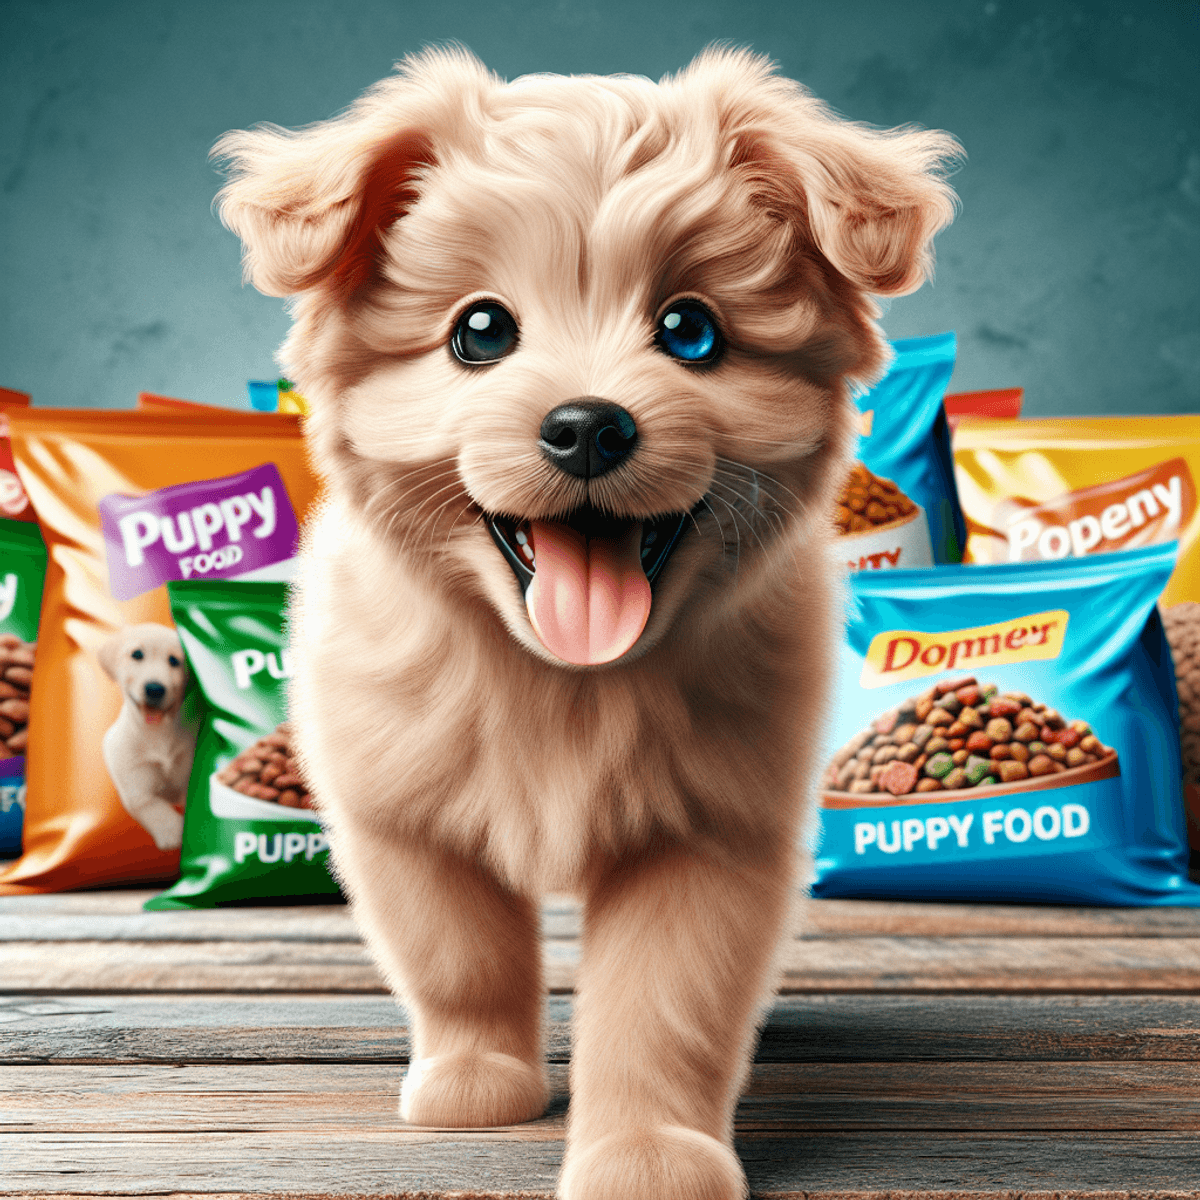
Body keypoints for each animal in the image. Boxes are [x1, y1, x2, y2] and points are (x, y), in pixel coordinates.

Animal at [216, 49, 960, 1200]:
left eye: (691, 331)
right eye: (480, 332)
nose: (586, 426)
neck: (562, 675)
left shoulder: (706, 833)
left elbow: (663, 1003)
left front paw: (646, 1154)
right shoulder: (403, 815)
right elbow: (458, 953)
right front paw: (477, 1079)